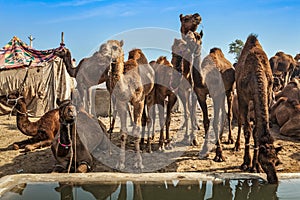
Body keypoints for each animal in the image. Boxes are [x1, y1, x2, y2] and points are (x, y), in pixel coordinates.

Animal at [234, 34, 282, 183]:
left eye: (276, 162)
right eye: (265, 162)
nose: (274, 179)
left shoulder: (266, 96)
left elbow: (255, 132)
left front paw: (255, 167)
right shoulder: (244, 98)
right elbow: (247, 131)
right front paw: (245, 163)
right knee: (240, 122)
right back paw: (236, 146)